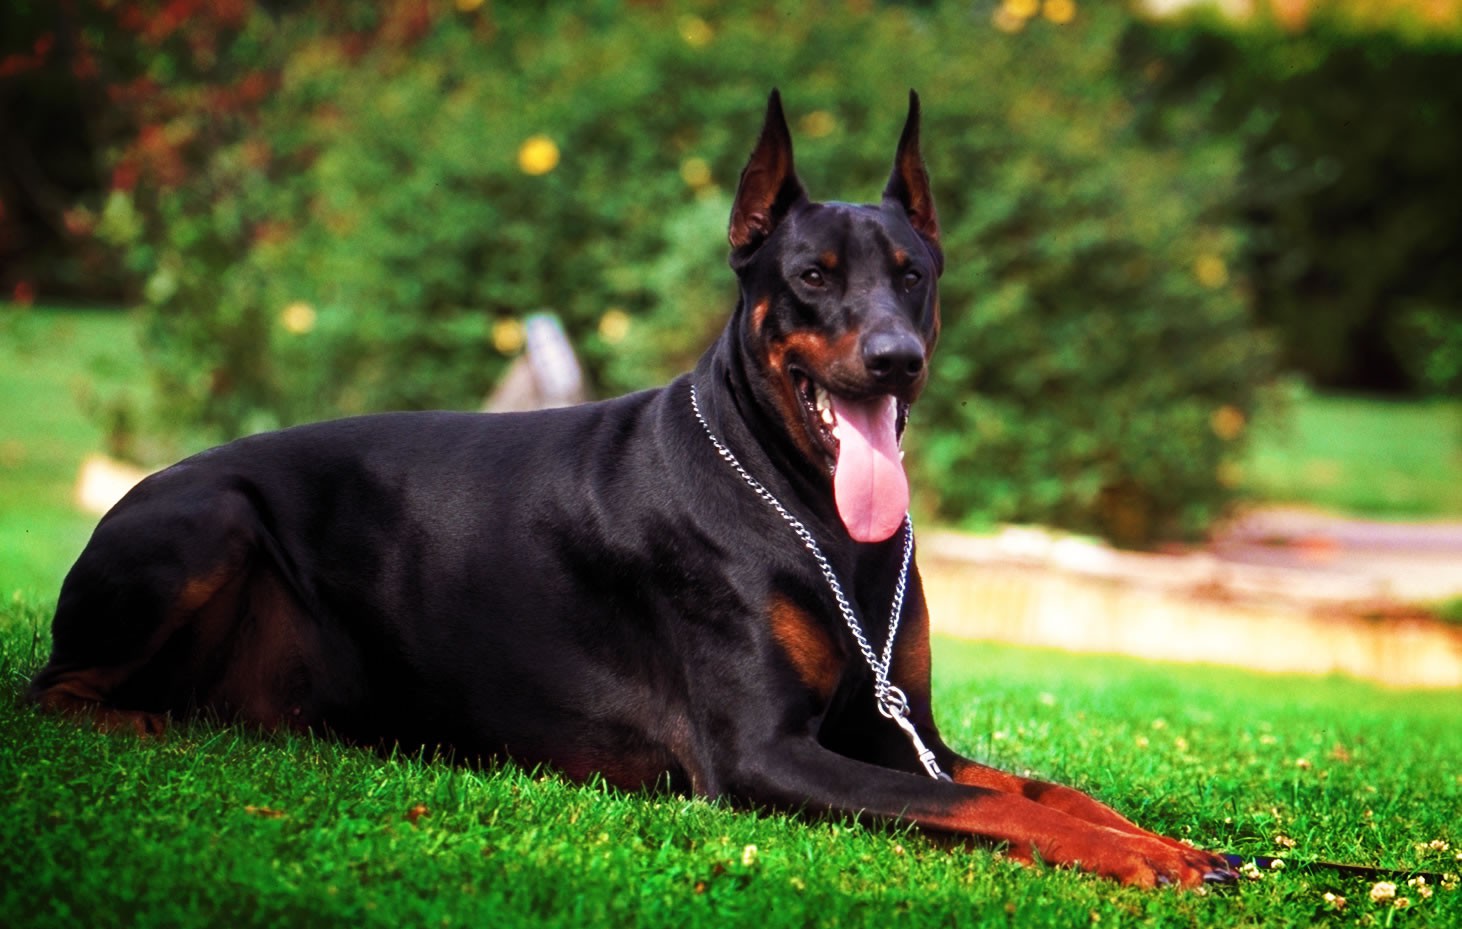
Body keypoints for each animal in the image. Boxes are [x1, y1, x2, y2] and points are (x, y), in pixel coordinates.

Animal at [28, 90, 1233, 889]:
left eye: (914, 276)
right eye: (811, 277)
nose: (894, 358)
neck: (808, 513)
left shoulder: (898, 726)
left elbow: (1040, 788)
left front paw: (1166, 841)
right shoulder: (765, 755)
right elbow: (980, 799)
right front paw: (1148, 862)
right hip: (211, 519)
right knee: (54, 691)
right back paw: (152, 719)